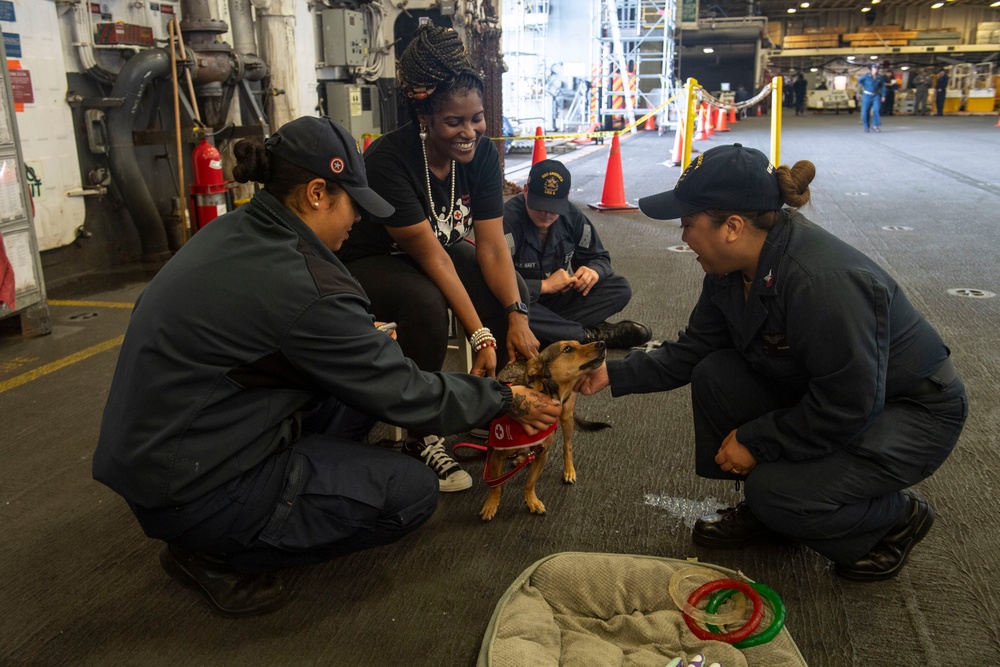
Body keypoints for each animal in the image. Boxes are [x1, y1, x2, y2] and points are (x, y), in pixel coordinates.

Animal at [478, 340, 608, 520]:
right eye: (568, 348)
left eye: (578, 343)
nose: (602, 343)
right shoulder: (496, 455)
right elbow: (495, 485)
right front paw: (491, 505)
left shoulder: (542, 454)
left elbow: (530, 483)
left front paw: (532, 501)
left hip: (567, 417)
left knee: (567, 446)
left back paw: (569, 470)